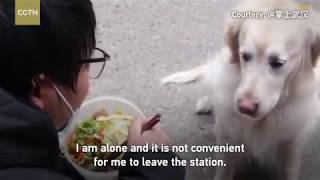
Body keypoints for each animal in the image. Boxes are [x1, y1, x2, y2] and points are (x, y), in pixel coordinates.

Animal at [162, 0, 320, 179]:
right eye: (244, 55)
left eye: (278, 62)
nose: (245, 107)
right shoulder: (227, 132)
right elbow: (224, 169)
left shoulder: (292, 141)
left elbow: (290, 169)